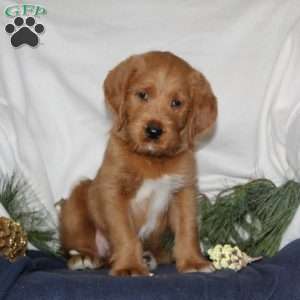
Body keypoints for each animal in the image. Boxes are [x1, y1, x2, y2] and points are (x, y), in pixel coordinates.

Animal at [59, 51, 218, 276]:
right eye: (142, 95)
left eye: (176, 103)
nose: (153, 131)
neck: (152, 159)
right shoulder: (113, 190)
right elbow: (125, 233)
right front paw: (130, 266)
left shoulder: (184, 190)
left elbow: (188, 228)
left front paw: (193, 262)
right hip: (77, 200)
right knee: (81, 243)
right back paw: (84, 257)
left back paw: (148, 257)